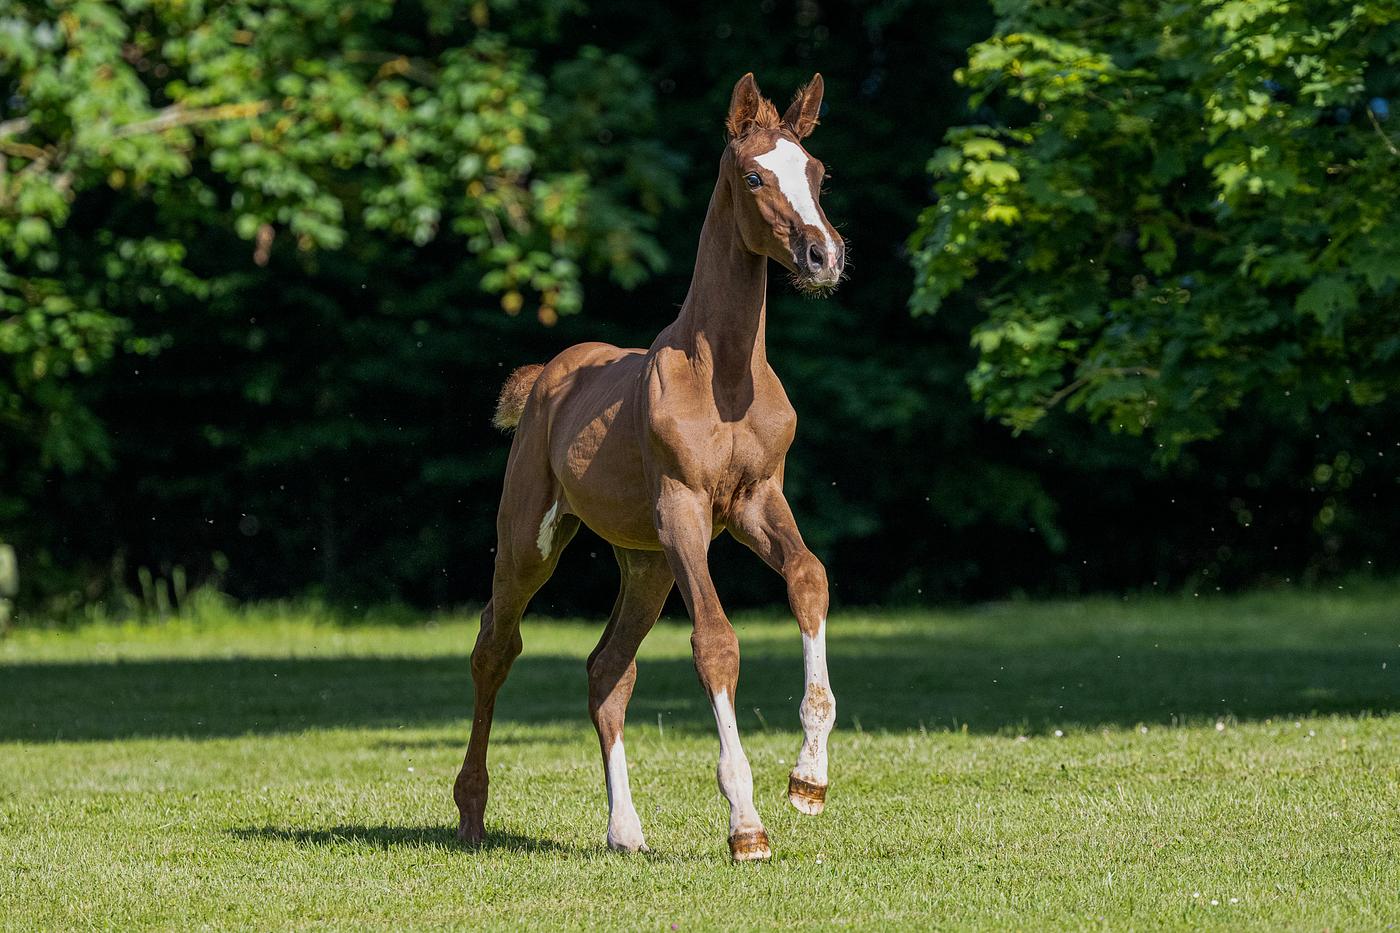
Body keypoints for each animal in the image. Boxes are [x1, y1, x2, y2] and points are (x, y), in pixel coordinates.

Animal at [454, 72, 846, 861]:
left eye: (817, 173)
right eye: (754, 176)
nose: (825, 257)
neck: (723, 376)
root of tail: (544, 378)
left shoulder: (758, 500)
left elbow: (808, 578)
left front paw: (808, 779)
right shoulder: (684, 508)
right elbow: (716, 642)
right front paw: (746, 824)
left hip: (646, 563)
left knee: (607, 668)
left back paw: (625, 830)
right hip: (533, 540)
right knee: (495, 646)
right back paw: (472, 814)